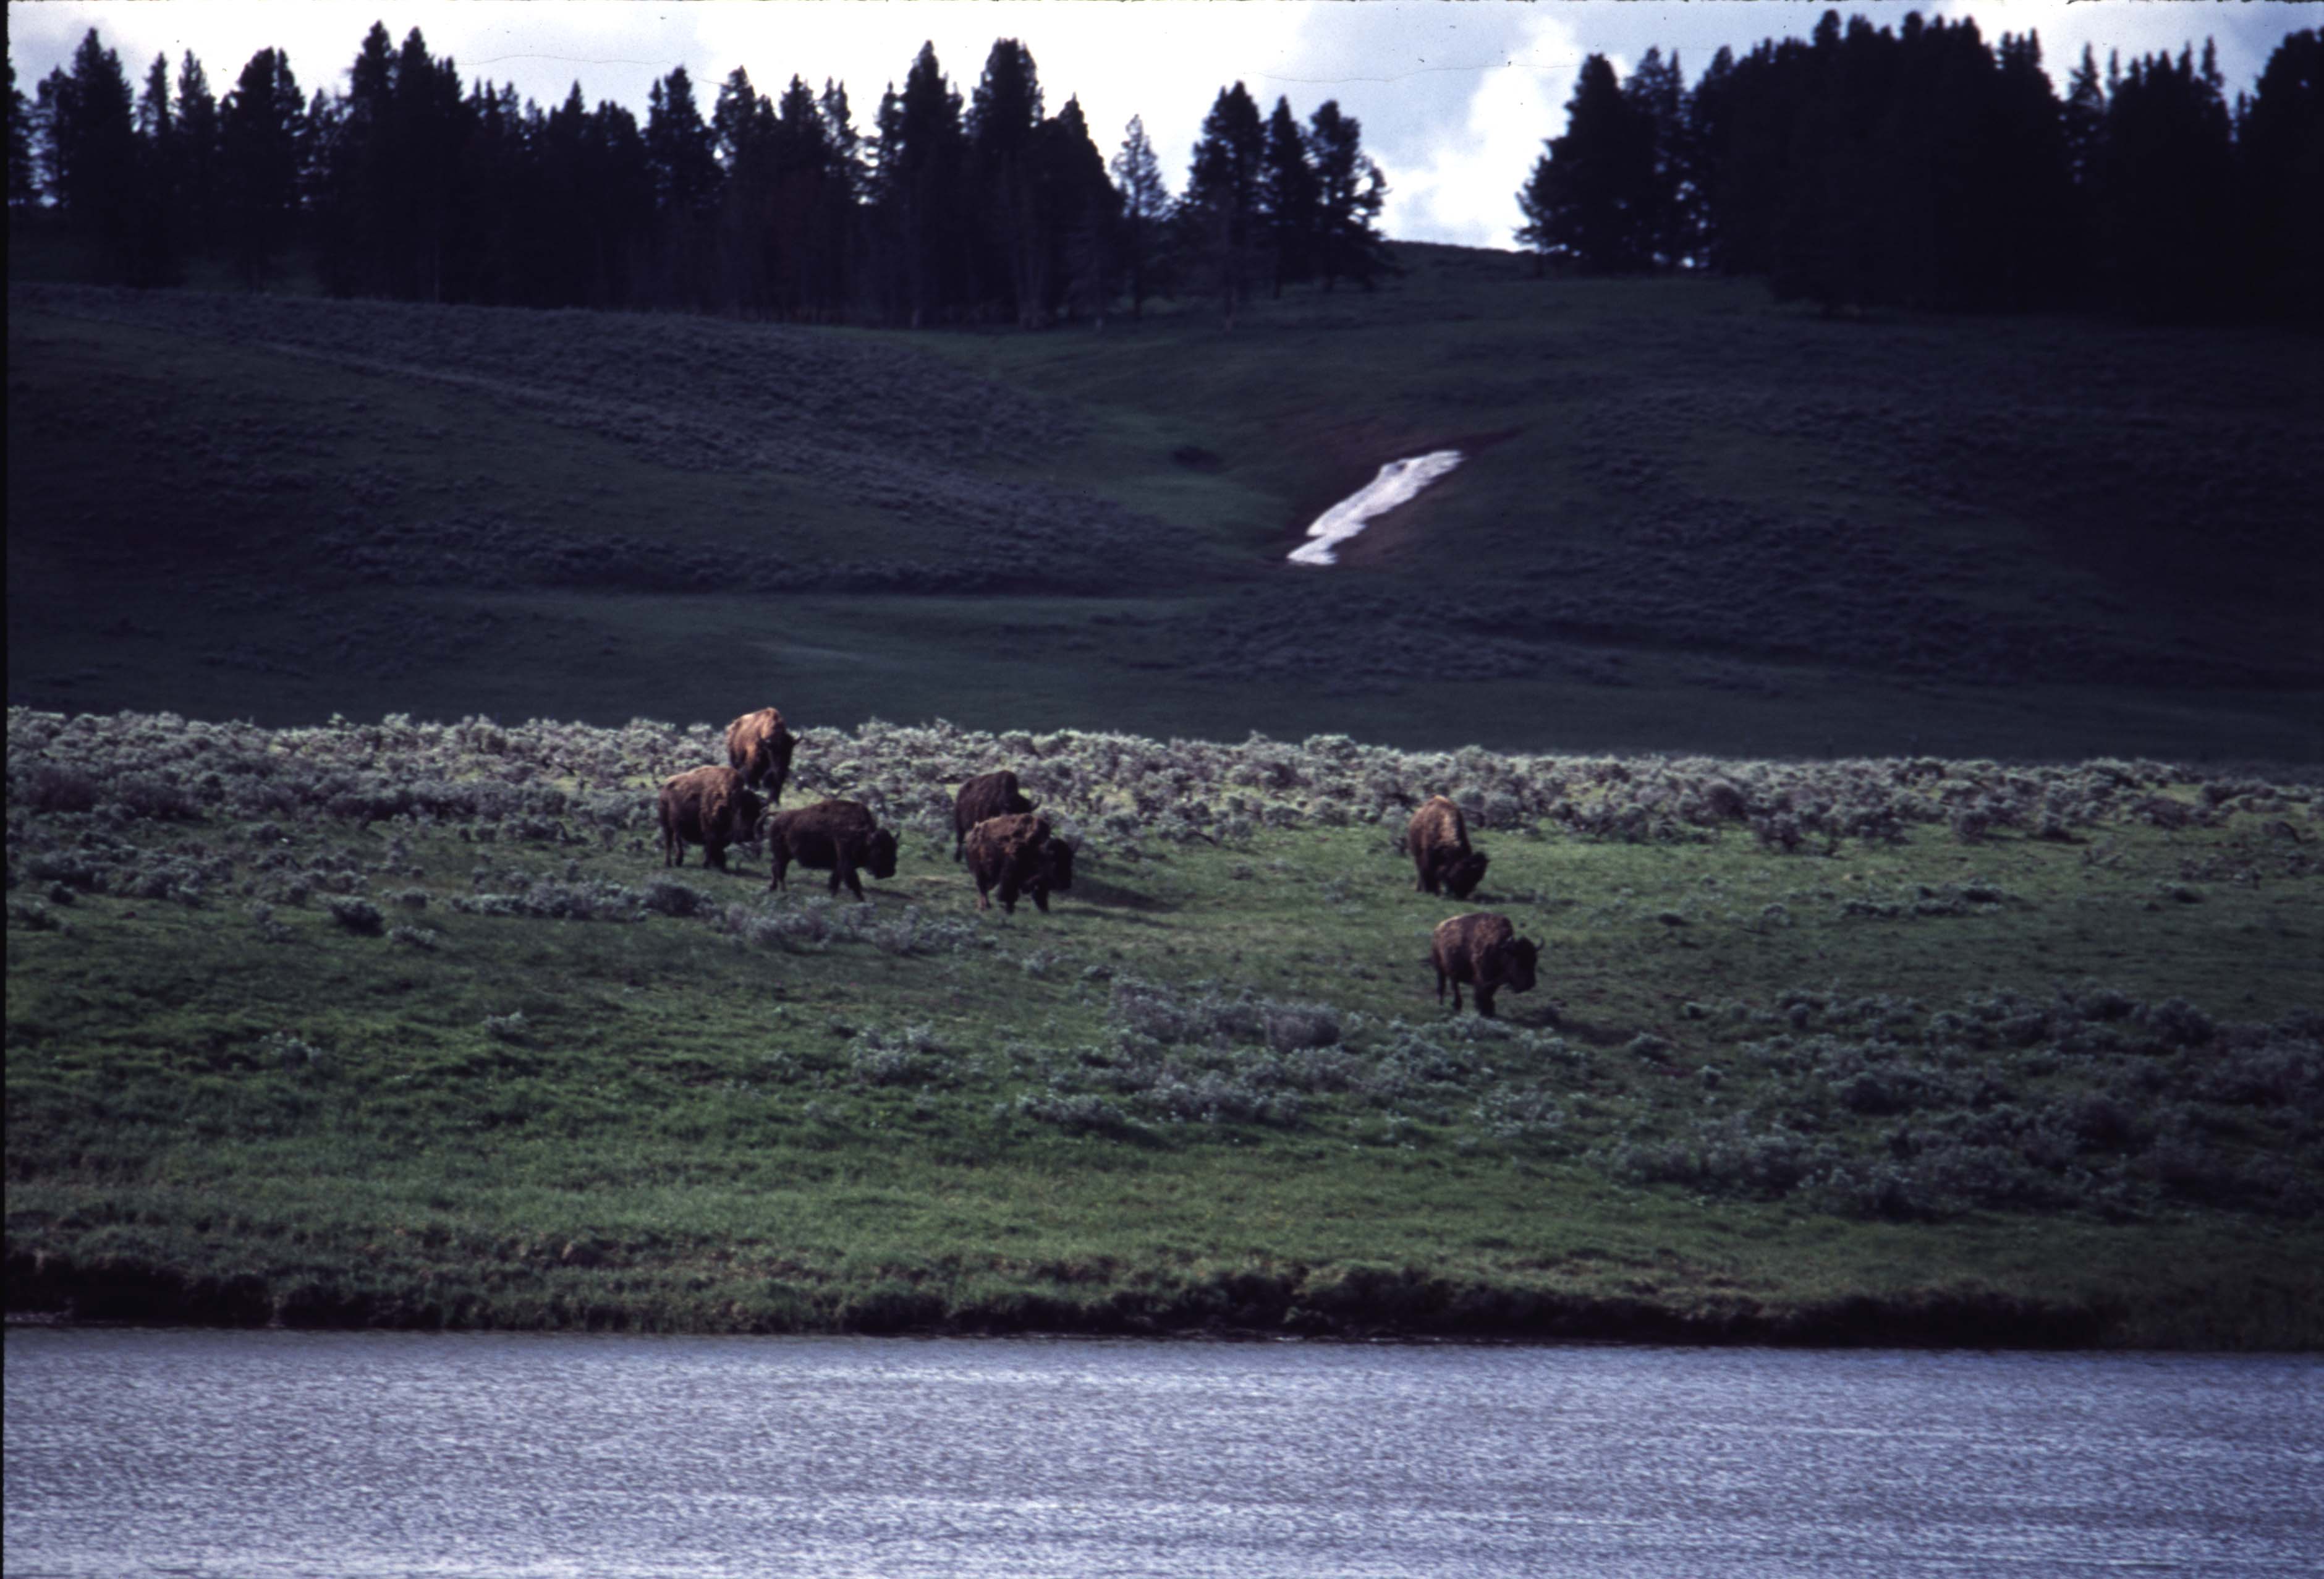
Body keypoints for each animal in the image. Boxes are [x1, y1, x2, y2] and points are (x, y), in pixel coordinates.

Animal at [657, 766, 765, 871]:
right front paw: (707, 864)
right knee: (669, 842)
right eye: (742, 813)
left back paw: (676, 862)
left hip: (674, 826)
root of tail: (665, 787)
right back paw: (670, 863)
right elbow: (711, 843)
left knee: (676, 839)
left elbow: (717, 846)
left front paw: (719, 864)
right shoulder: (709, 826)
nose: (749, 836)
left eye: (756, 814)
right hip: (666, 825)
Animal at [765, 798, 899, 900]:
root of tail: (777, 818)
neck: (863, 835)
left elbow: (835, 882)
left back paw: (773, 889)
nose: (890, 872)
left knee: (775, 869)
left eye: (894, 849)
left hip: (785, 856)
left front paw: (832, 897)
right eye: (879, 851)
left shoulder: (839, 865)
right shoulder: (847, 863)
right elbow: (854, 883)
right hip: (782, 855)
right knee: (779, 871)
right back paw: (783, 891)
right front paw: (863, 901)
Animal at [964, 812, 1075, 914]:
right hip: (982, 872)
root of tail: (972, 834)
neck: (1039, 851)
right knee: (982, 888)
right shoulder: (1011, 874)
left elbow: (1040, 895)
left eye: (1069, 861)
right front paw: (1009, 910)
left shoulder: (1040, 882)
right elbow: (1009, 894)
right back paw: (985, 906)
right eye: (1055, 862)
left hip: (993, 876)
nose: (1067, 884)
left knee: (985, 888)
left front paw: (1045, 910)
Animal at [1407, 795, 1489, 898]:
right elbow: (1428, 873)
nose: (1463, 895)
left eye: (1478, 878)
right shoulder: (1428, 858)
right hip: (1417, 855)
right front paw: (1431, 891)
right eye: (1463, 874)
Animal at [1430, 911, 1541, 1018]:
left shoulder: (1494, 981)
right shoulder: (1482, 978)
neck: (1502, 950)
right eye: (1518, 961)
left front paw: (1489, 1011)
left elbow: (1489, 993)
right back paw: (1443, 1004)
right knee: (1443, 986)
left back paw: (1456, 1005)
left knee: (1454, 984)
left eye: (1534, 960)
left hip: (1452, 971)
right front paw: (1482, 1010)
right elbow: (1482, 993)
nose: (1530, 984)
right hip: (1440, 969)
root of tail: (1438, 929)